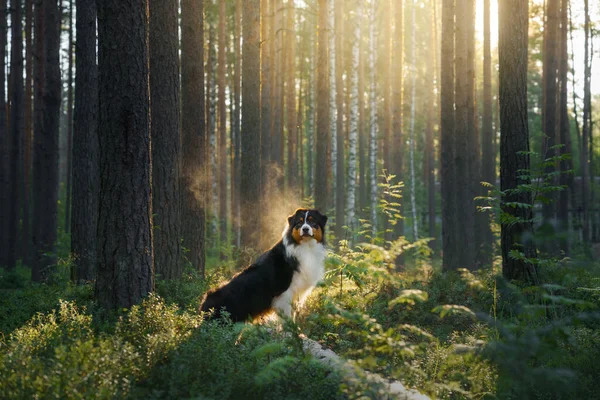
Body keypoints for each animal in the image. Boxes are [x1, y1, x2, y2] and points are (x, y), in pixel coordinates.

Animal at [200, 208, 328, 324]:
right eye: (299, 223)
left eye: (312, 221)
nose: (305, 229)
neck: (306, 247)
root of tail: (203, 305)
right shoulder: (284, 294)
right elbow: (286, 320)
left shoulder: (297, 295)